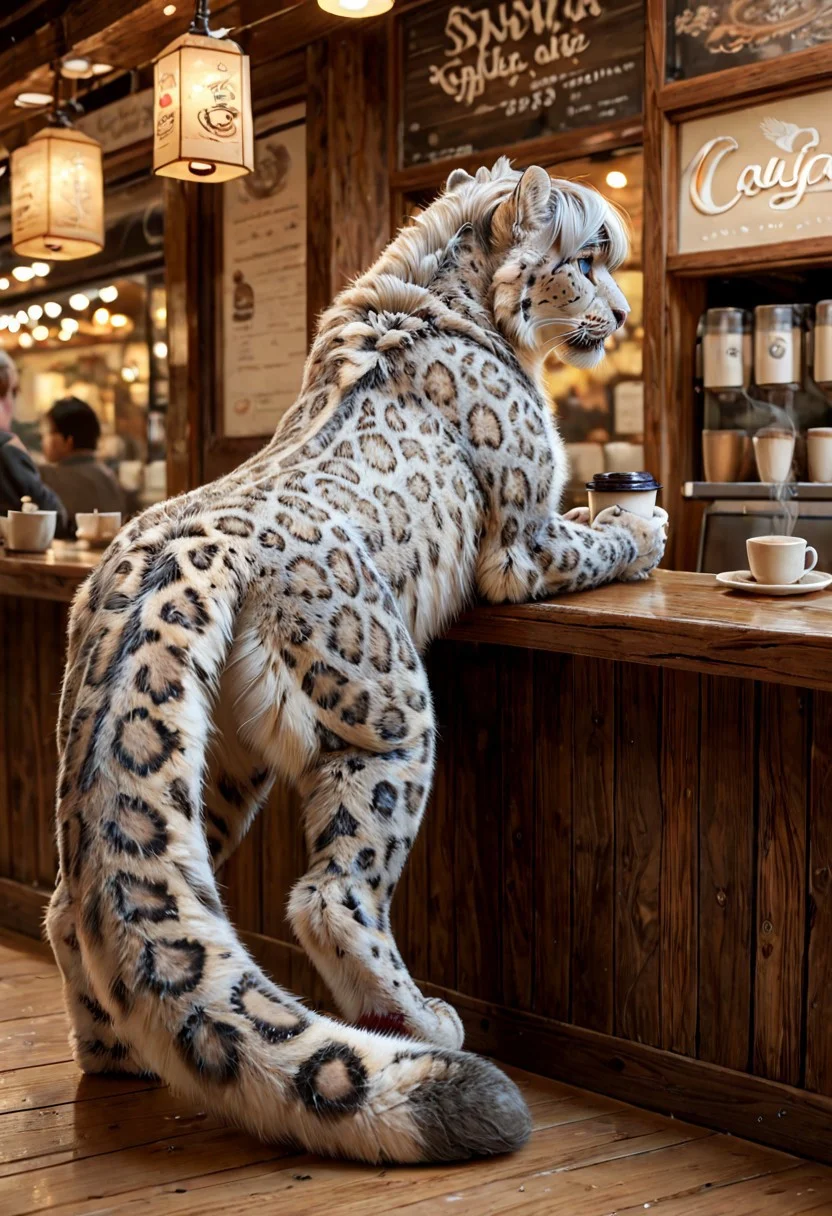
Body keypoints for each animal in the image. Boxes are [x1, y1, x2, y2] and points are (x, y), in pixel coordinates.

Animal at [45, 158, 667, 1166]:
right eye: (586, 261)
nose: (618, 315)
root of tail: (171, 546)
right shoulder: (527, 540)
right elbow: (598, 541)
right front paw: (644, 527)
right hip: (389, 714)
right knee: (332, 893)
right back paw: (419, 1018)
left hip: (216, 764)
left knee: (79, 905)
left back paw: (114, 1051)